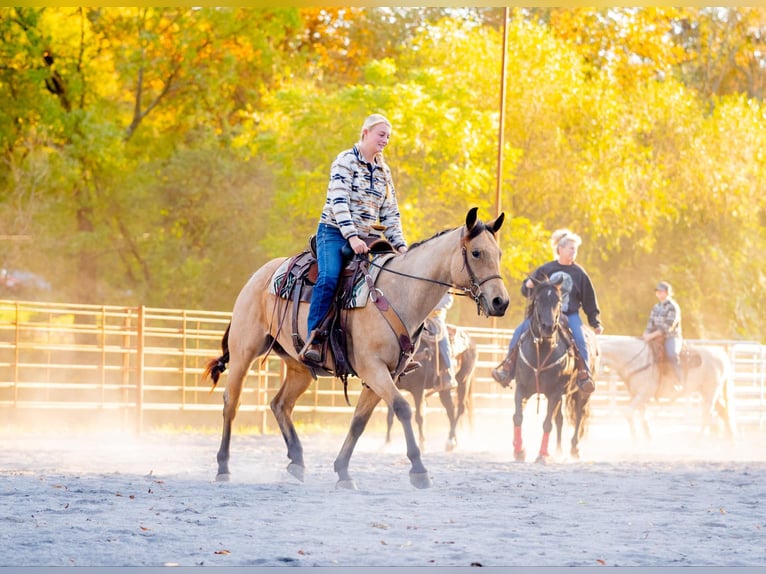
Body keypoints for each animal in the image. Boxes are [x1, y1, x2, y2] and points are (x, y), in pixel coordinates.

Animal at [388, 324, 476, 454]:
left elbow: (419, 416)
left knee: (460, 408)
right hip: (445, 390)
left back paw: (450, 442)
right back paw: (453, 441)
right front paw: (386, 444)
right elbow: (390, 416)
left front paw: (422, 444)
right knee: (450, 410)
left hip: (464, 381)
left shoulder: (418, 389)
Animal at [512, 276, 596, 466]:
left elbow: (547, 423)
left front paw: (542, 455)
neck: (542, 350)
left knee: (578, 417)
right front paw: (519, 450)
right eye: (538, 299)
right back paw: (558, 450)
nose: (548, 327)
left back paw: (574, 449)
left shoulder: (555, 392)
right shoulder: (522, 388)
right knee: (560, 420)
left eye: (558, 301)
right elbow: (518, 417)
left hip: (582, 393)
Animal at [600, 336, 736, 444]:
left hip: (711, 390)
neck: (637, 360)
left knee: (707, 414)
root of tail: (722, 355)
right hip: (709, 391)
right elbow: (643, 417)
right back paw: (731, 441)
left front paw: (635, 439)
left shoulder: (643, 394)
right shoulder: (637, 395)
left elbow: (628, 412)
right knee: (724, 411)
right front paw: (648, 438)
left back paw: (697, 441)